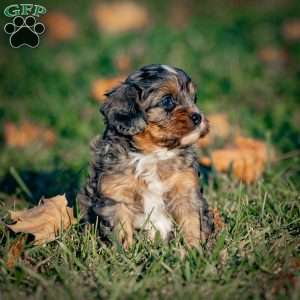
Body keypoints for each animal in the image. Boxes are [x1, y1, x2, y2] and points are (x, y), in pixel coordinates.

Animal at [78, 63, 212, 248]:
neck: (154, 153)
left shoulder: (186, 190)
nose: (198, 117)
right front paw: (125, 252)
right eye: (167, 100)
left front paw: (194, 250)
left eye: (194, 98)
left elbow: (191, 224)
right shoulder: (116, 195)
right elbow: (121, 230)